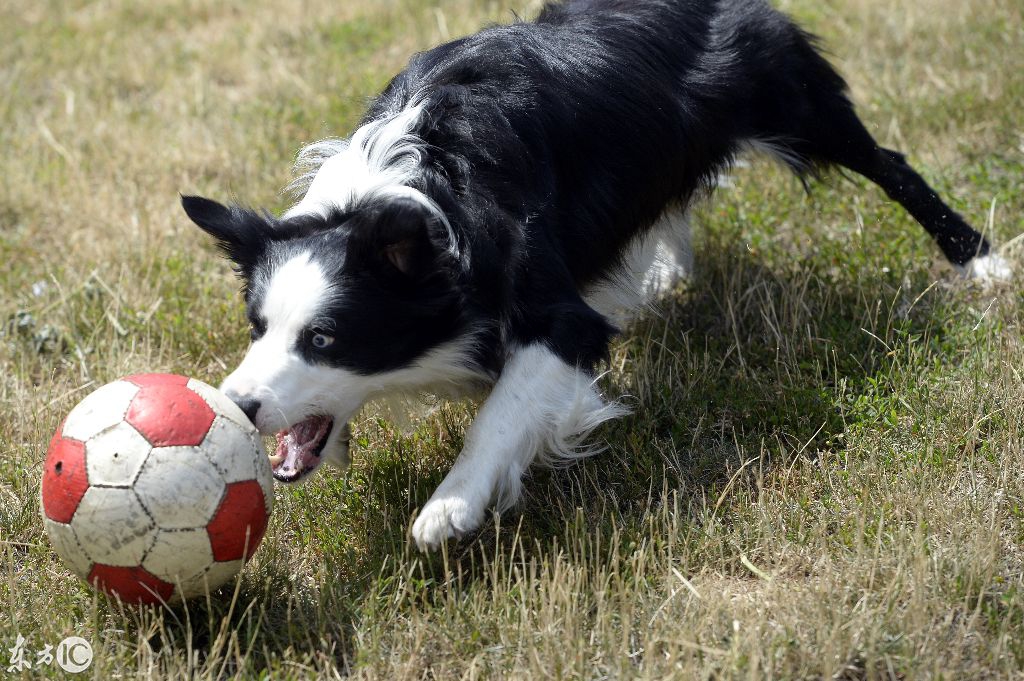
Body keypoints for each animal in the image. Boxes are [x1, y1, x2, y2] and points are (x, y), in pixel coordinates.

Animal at [182, 0, 1007, 548]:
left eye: (325, 338)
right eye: (258, 327)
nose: (237, 406)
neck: (404, 192)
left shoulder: (552, 308)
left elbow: (503, 409)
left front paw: (450, 505)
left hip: (791, 99)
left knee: (890, 164)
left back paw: (981, 260)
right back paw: (662, 273)